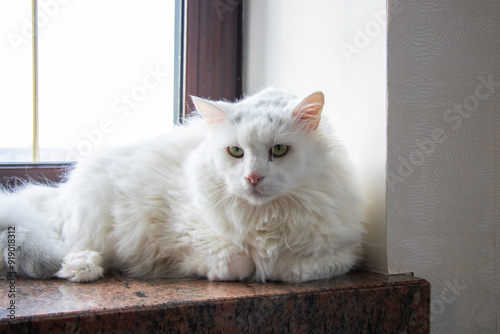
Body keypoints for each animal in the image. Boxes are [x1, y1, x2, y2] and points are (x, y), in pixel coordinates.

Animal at [0, 88, 368, 282]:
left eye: (278, 151)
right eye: (236, 152)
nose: (252, 178)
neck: (265, 218)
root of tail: (57, 196)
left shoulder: (344, 251)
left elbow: (300, 268)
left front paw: (276, 266)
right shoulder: (182, 230)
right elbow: (235, 261)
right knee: (62, 248)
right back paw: (83, 266)